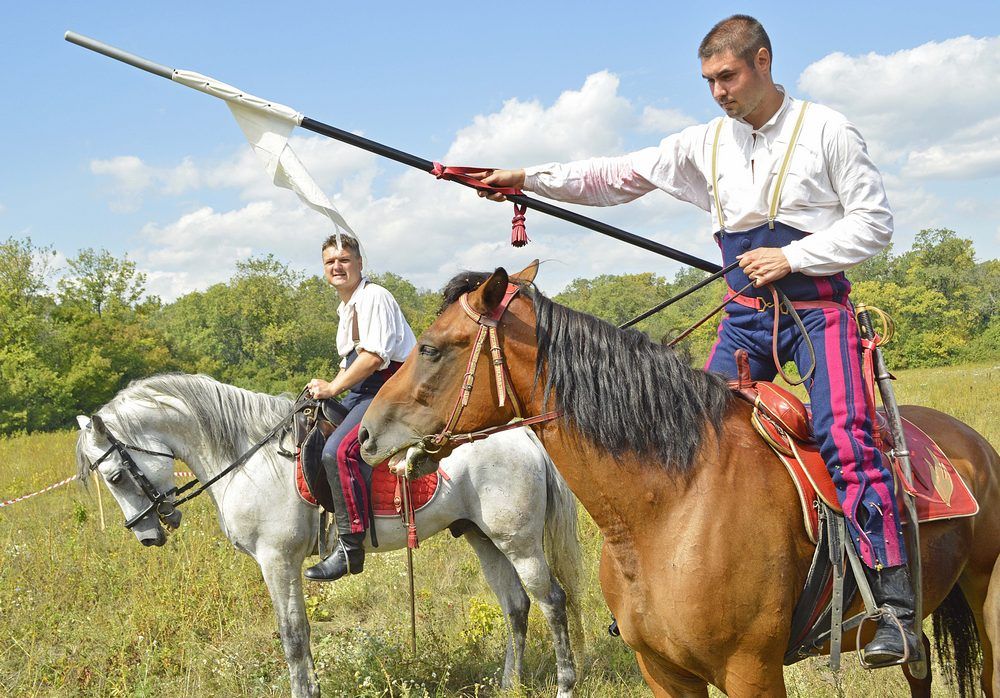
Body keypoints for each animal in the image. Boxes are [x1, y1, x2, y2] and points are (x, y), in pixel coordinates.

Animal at [74, 372, 584, 696]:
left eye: (115, 477)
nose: (147, 536)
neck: (247, 455)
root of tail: (520, 435)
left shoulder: (277, 561)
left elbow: (294, 635)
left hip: (519, 543)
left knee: (552, 603)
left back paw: (564, 685)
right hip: (485, 539)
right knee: (516, 607)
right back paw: (509, 685)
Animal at [362, 262, 1000, 696]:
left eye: (432, 348)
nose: (367, 434)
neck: (671, 505)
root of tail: (973, 443)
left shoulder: (752, 673)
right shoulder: (665, 673)